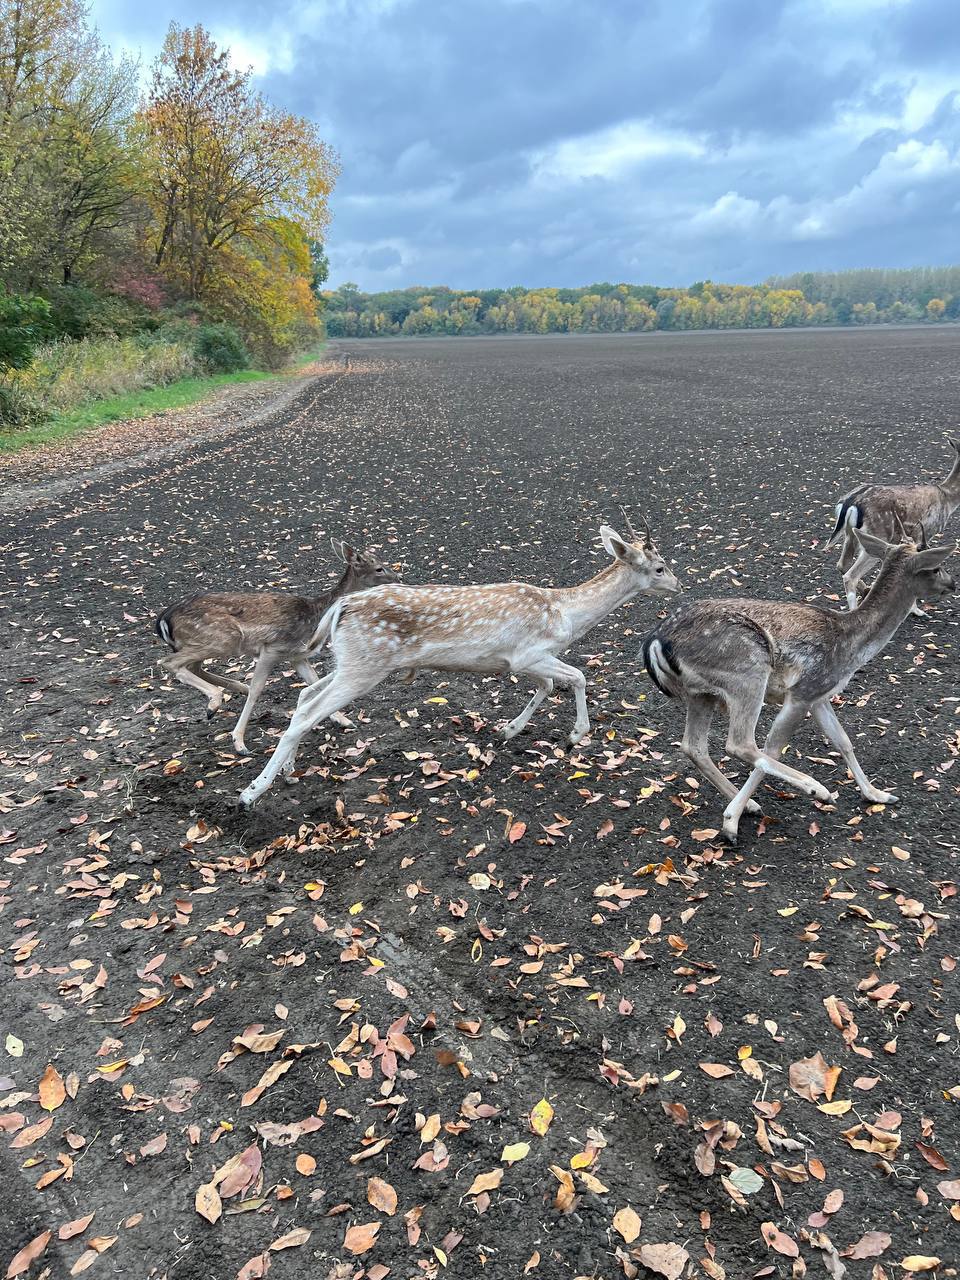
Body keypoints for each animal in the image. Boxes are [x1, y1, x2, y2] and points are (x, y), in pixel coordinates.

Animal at [158, 545, 399, 752]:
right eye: (378, 567)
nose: (398, 578)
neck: (314, 618)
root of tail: (162, 620)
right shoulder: (272, 649)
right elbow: (257, 690)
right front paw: (239, 742)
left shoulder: (296, 655)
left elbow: (313, 683)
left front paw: (344, 720)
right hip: (223, 637)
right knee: (169, 662)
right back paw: (215, 702)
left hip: (209, 642)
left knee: (193, 666)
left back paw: (233, 690)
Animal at [236, 514, 680, 803]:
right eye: (660, 567)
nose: (678, 584)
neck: (565, 616)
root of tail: (341, 606)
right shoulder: (528, 653)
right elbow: (577, 677)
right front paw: (575, 735)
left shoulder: (525, 662)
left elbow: (549, 685)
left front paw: (508, 730)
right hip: (364, 664)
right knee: (307, 713)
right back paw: (252, 792)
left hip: (352, 661)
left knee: (302, 700)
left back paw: (288, 773)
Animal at [642, 524, 957, 844]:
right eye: (936, 566)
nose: (952, 583)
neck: (852, 646)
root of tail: (655, 642)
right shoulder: (802, 691)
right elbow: (773, 747)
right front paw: (730, 822)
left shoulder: (820, 694)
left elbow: (843, 740)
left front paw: (877, 794)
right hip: (748, 672)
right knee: (740, 743)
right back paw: (814, 788)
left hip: (702, 693)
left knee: (693, 746)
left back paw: (752, 804)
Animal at [829, 440, 960, 609]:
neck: (947, 498)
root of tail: (849, 503)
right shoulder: (924, 531)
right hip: (877, 534)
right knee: (850, 575)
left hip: (850, 534)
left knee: (842, 565)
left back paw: (866, 591)